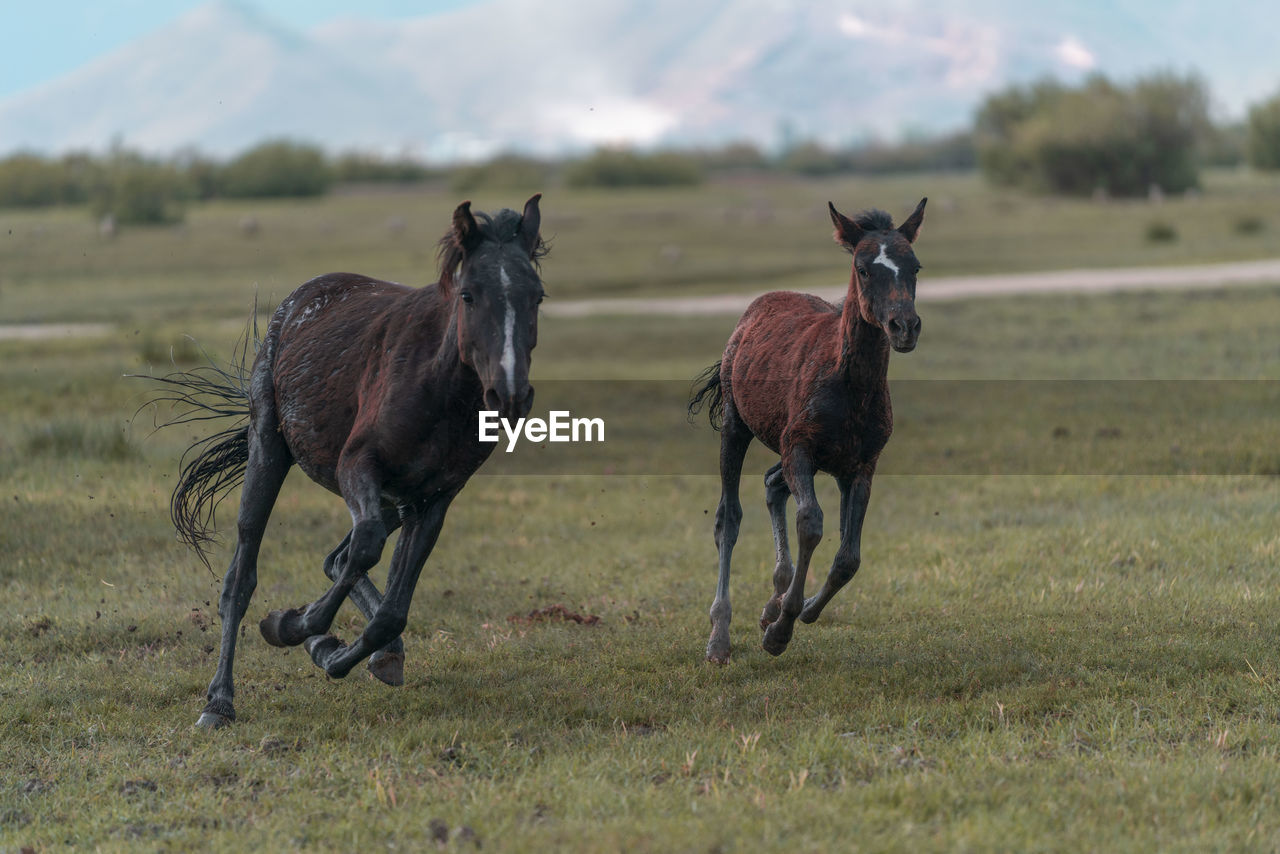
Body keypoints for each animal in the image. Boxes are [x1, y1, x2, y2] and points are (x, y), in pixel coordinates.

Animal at [147, 195, 547, 727]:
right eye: (468, 295)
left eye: (537, 296)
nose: (509, 394)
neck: (438, 388)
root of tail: (298, 300)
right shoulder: (357, 465)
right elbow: (365, 549)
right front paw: (291, 625)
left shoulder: (435, 498)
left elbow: (391, 610)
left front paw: (338, 649)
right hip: (270, 450)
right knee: (242, 576)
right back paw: (219, 701)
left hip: (395, 501)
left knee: (337, 560)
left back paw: (372, 654)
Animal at [696, 197, 926, 665]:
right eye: (863, 268)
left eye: (915, 266)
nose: (905, 327)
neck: (851, 388)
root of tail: (755, 308)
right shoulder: (799, 447)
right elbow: (811, 524)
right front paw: (779, 631)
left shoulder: (860, 466)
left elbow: (848, 558)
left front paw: (792, 612)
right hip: (737, 425)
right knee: (729, 517)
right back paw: (720, 636)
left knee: (771, 484)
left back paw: (773, 600)